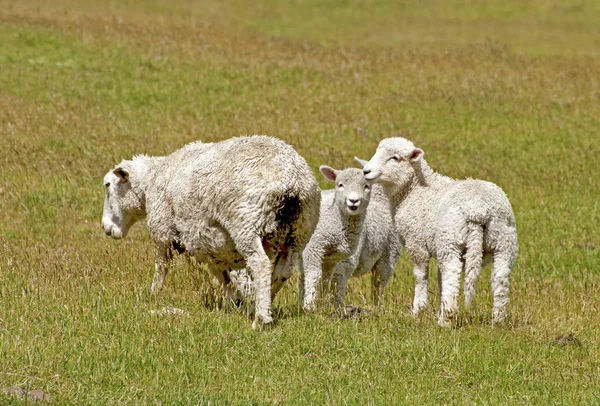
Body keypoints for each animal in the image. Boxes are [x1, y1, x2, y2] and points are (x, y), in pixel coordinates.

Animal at [101, 135, 322, 328]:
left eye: (107, 185)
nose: (105, 227)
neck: (152, 181)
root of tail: (291, 181)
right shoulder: (209, 246)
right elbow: (224, 277)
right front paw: (236, 303)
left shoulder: (163, 232)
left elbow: (162, 269)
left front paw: (153, 295)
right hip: (301, 230)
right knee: (283, 271)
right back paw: (260, 306)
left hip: (247, 224)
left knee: (260, 264)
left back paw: (261, 319)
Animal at [302, 167, 372, 312]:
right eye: (340, 185)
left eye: (366, 186)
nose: (353, 201)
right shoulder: (313, 247)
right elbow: (314, 275)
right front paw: (309, 307)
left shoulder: (331, 258)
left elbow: (325, 280)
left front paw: (321, 305)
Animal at [360, 138, 520, 328]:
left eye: (395, 158)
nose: (366, 171)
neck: (415, 190)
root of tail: (479, 209)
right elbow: (439, 278)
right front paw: (436, 308)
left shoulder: (416, 242)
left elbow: (421, 277)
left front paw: (418, 310)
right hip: (504, 241)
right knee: (500, 277)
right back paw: (498, 320)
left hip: (450, 239)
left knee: (452, 273)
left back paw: (446, 320)